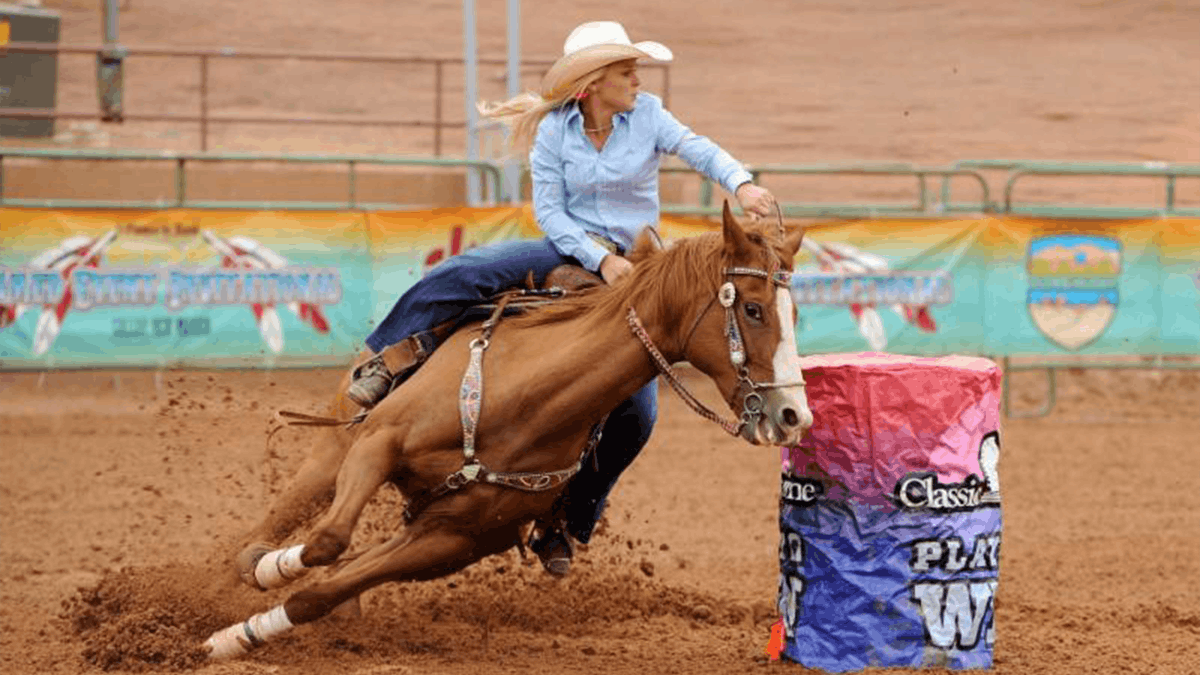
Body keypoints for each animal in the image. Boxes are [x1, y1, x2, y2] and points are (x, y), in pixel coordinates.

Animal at [204, 200, 816, 658]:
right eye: (755, 309)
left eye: (794, 314)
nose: (794, 417)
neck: (521, 401)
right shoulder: (380, 443)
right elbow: (327, 539)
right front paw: (259, 585)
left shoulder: (454, 539)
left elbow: (327, 586)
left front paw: (237, 635)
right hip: (340, 441)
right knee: (290, 512)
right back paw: (244, 564)